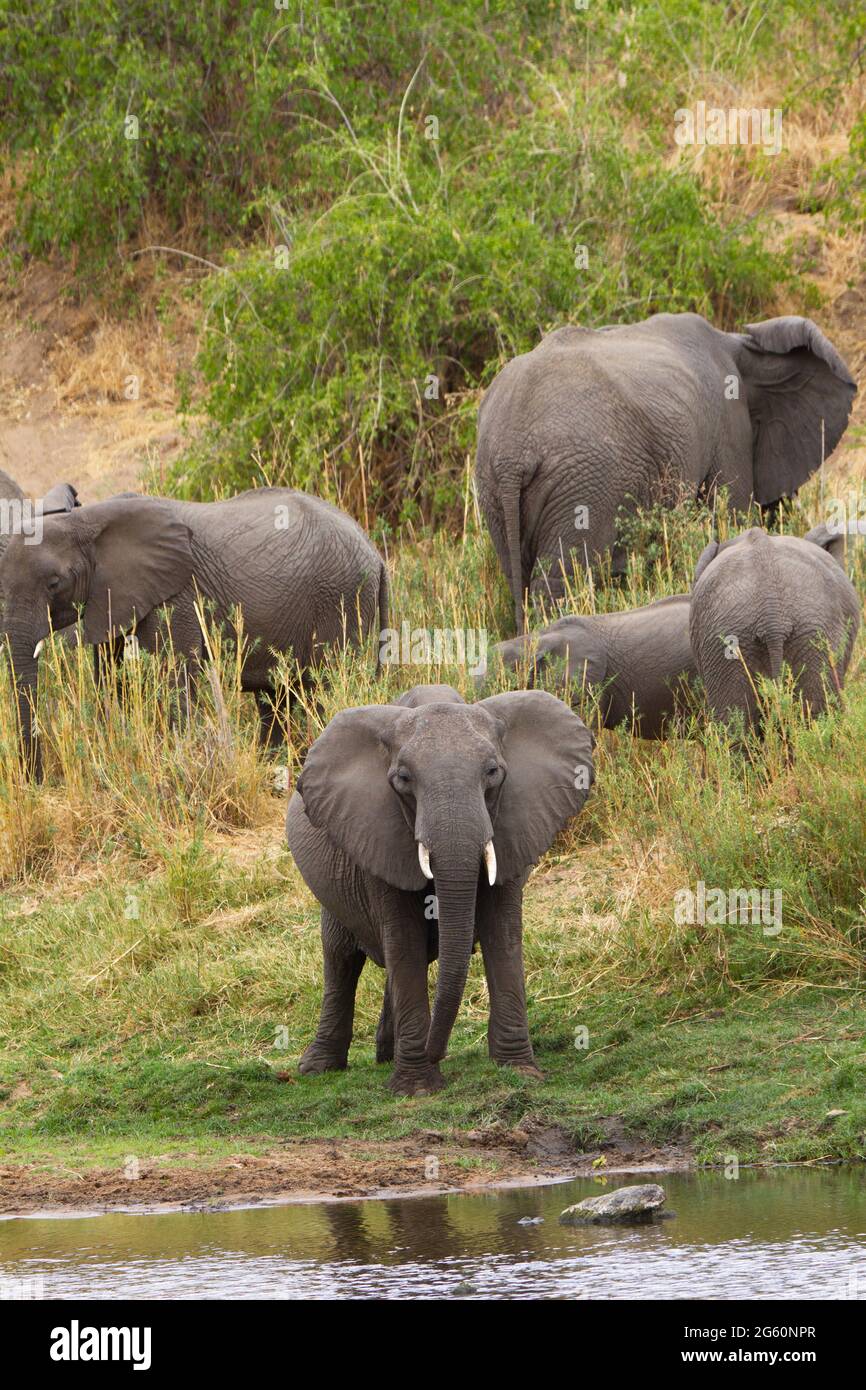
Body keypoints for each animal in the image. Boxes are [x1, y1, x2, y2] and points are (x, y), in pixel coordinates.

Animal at [287, 683, 592, 1095]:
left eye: (493, 772)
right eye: (403, 779)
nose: (439, 1052)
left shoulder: (515, 821)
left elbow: (502, 934)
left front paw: (519, 1072)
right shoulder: (377, 831)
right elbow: (404, 940)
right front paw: (417, 1088)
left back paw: (387, 1056)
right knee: (341, 957)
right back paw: (318, 1069)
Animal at [478, 314, 856, 631]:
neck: (738, 344)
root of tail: (512, 455)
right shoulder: (729, 425)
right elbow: (730, 514)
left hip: (493, 490)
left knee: (518, 578)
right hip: (582, 484)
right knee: (562, 582)